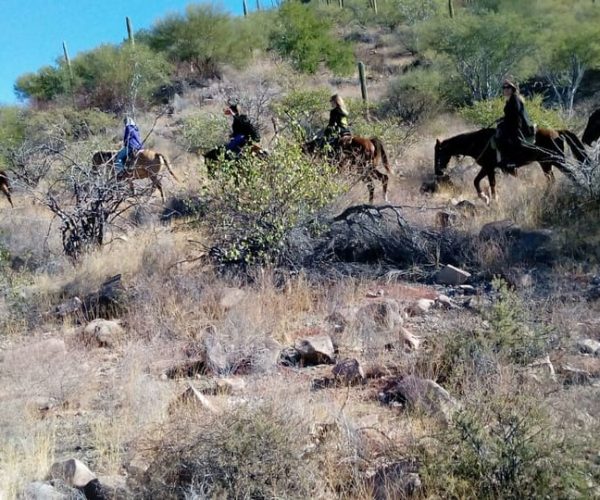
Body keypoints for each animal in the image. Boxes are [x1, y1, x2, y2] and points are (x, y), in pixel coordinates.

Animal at [434, 127, 588, 203]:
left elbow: (490, 183)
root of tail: (557, 132)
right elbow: (477, 181)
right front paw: (484, 197)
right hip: (548, 164)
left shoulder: (489, 167)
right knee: (553, 180)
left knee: (569, 175)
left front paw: (493, 198)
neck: (478, 142)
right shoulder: (488, 167)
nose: (438, 172)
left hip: (555, 161)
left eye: (439, 153)